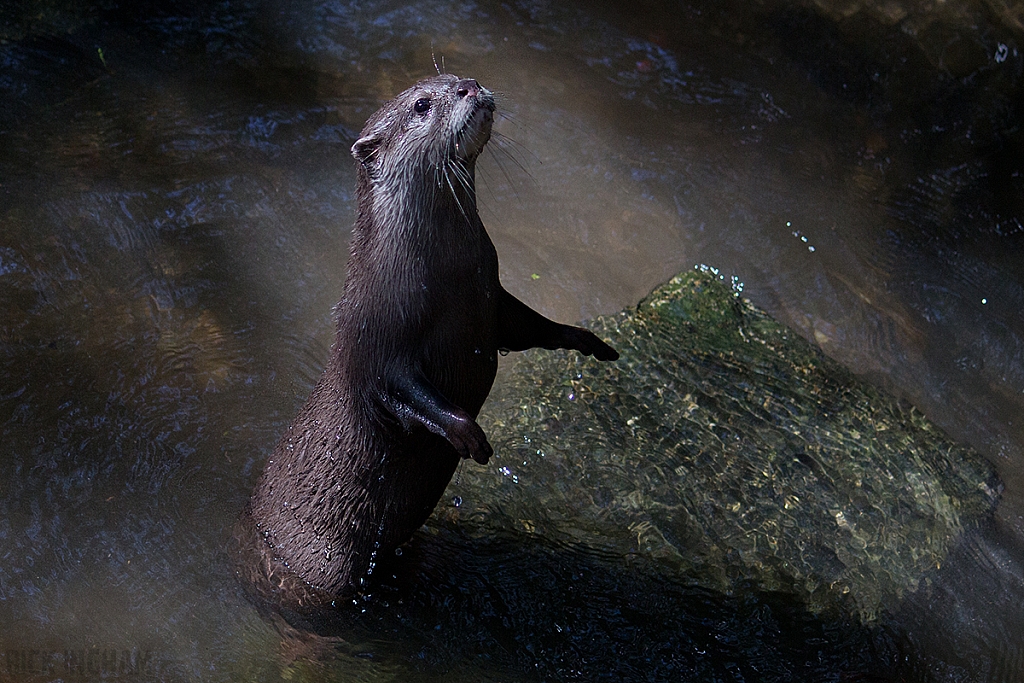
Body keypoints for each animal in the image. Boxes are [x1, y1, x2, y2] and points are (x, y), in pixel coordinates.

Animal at [236, 74, 618, 614]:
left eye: (455, 77)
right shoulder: (377, 338)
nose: (471, 86)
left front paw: (584, 339)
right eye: (421, 105)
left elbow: (529, 326)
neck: (447, 272)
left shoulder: (491, 296)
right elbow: (404, 391)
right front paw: (470, 435)